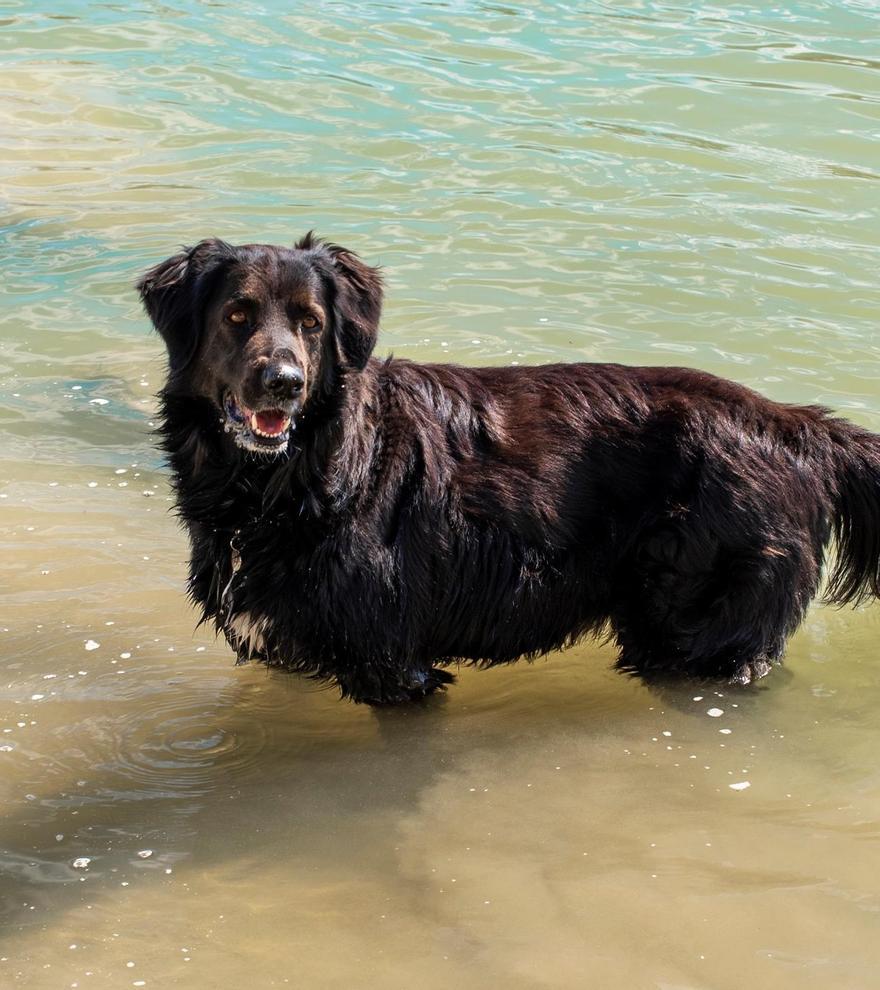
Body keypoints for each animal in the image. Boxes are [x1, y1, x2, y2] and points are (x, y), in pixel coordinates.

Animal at [138, 235, 880, 704]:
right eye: (238, 314)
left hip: (693, 631)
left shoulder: (395, 664)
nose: (284, 384)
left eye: (311, 322)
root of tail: (793, 424)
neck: (293, 479)